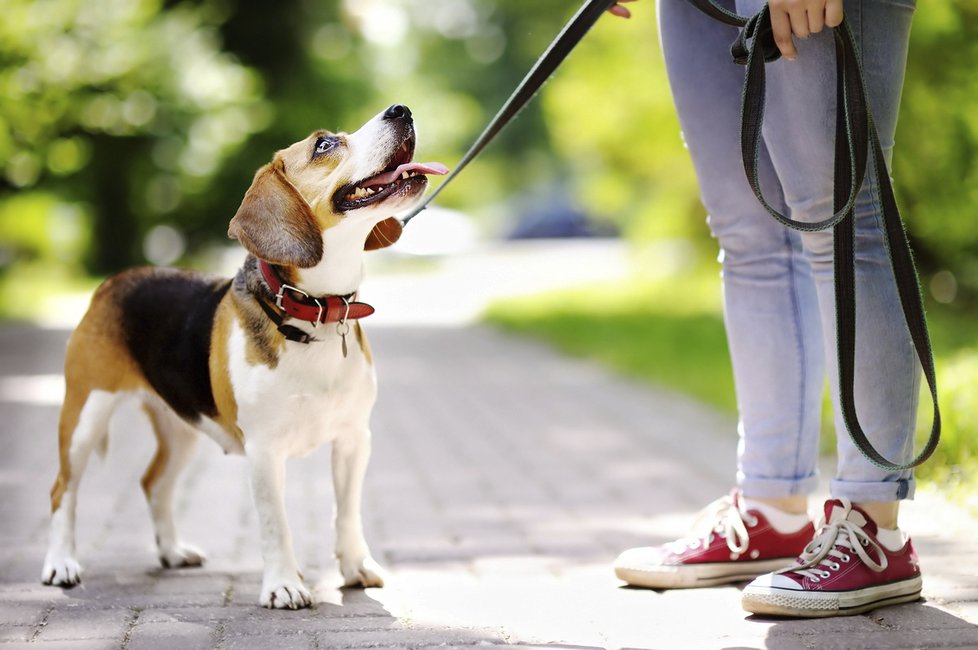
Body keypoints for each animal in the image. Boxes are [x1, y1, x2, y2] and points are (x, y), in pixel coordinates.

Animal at [40, 104, 448, 604]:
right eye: (324, 145)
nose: (401, 110)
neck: (314, 312)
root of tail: (115, 281)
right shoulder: (264, 450)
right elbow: (277, 524)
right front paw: (285, 585)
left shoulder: (354, 439)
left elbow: (347, 513)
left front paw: (355, 567)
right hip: (84, 415)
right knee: (62, 490)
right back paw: (61, 564)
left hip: (182, 427)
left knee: (153, 484)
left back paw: (172, 551)